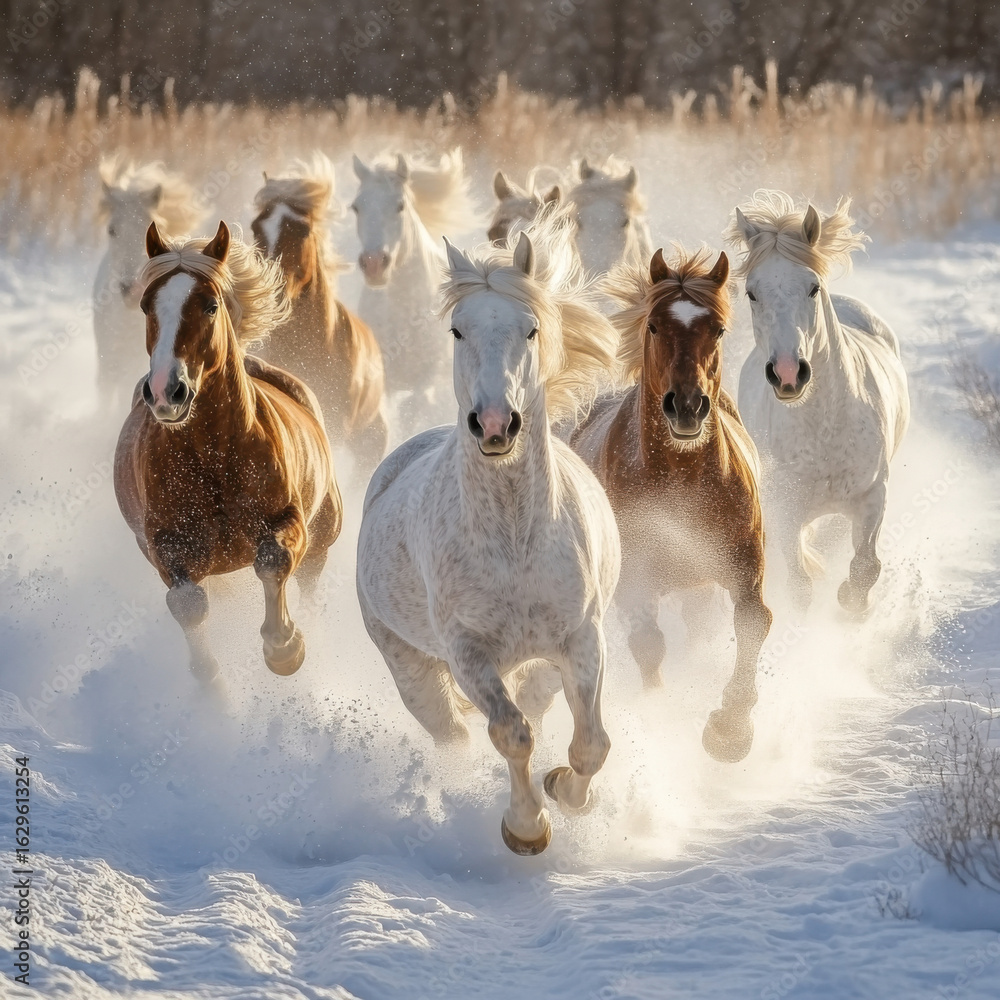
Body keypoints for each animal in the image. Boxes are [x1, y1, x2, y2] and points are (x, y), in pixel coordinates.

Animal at [114, 220, 342, 689]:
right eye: (147, 306)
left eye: (210, 305)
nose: (166, 391)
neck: (212, 458)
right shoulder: (169, 549)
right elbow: (188, 604)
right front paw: (211, 684)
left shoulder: (288, 521)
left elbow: (273, 561)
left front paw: (285, 649)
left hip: (325, 531)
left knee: (309, 576)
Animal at [350, 148, 480, 431]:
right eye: (356, 207)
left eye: (400, 205)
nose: (374, 264)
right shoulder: (383, 380)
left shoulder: (425, 382)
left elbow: (413, 412)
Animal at [356, 223, 621, 856]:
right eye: (458, 329)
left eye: (531, 328)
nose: (495, 423)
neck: (514, 539)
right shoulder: (468, 655)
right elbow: (511, 734)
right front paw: (525, 828)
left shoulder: (582, 638)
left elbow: (590, 743)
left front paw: (567, 791)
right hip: (413, 671)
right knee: (452, 734)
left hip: (543, 666)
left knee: (539, 706)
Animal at [572, 247, 772, 762]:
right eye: (654, 326)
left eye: (717, 328)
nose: (686, 406)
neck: (681, 482)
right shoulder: (636, 581)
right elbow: (648, 644)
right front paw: (659, 712)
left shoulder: (743, 565)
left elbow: (752, 624)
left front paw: (730, 731)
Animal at [727, 191, 910, 614]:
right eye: (752, 292)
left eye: (812, 287)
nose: (788, 372)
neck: (823, 430)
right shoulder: (785, 510)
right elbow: (800, 584)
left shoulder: (872, 495)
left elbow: (865, 567)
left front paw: (853, 609)